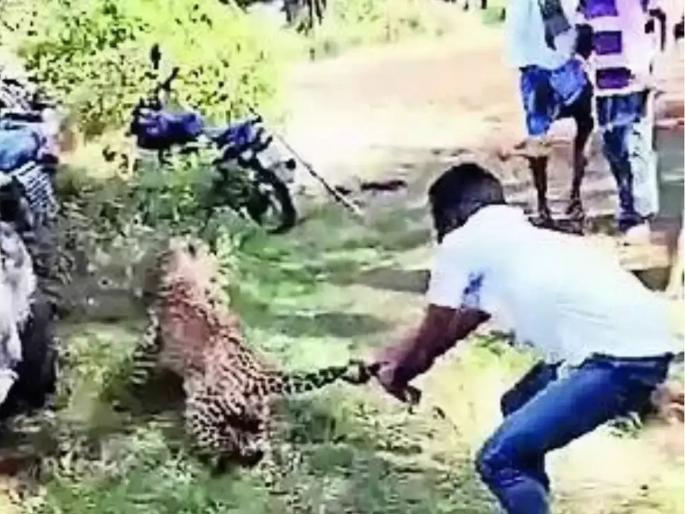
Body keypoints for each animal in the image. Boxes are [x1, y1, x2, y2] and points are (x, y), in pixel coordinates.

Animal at [128, 236, 374, 470]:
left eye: (161, 254)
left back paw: (202, 458)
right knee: (257, 443)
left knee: (224, 441)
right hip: (253, 415)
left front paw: (131, 395)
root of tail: (257, 374)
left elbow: (137, 367)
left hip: (201, 411)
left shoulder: (150, 338)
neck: (188, 272)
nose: (150, 261)